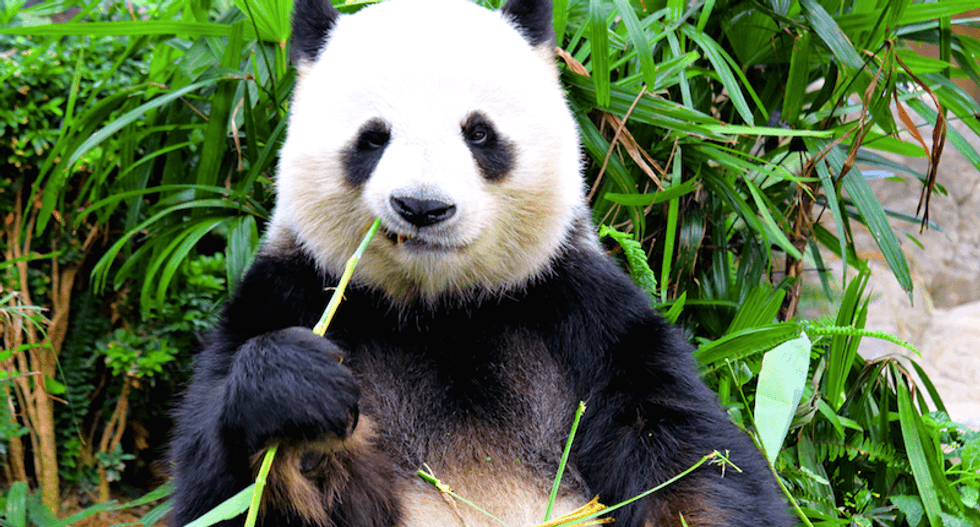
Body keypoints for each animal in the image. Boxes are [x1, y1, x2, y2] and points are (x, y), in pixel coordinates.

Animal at [169, 0, 794, 526]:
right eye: (372, 138)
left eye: (479, 133)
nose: (422, 207)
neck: (439, 310)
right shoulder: (289, 292)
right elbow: (221, 493)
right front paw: (299, 403)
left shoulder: (582, 313)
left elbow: (689, 459)